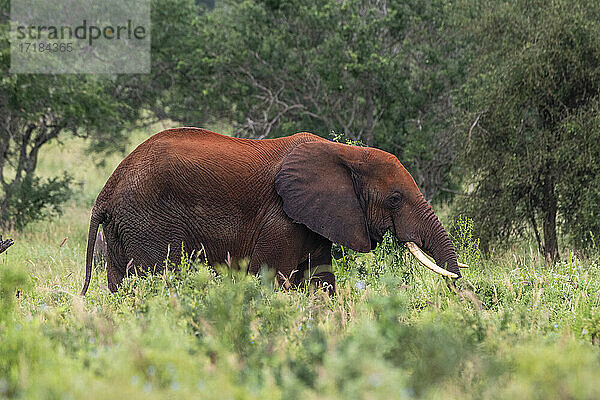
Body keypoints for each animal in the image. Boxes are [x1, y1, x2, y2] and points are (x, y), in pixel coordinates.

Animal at [79, 130, 464, 296]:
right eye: (395, 199)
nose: (460, 292)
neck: (344, 153)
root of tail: (106, 190)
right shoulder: (281, 219)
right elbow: (270, 278)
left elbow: (321, 282)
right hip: (149, 222)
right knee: (159, 278)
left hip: (125, 227)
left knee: (120, 285)